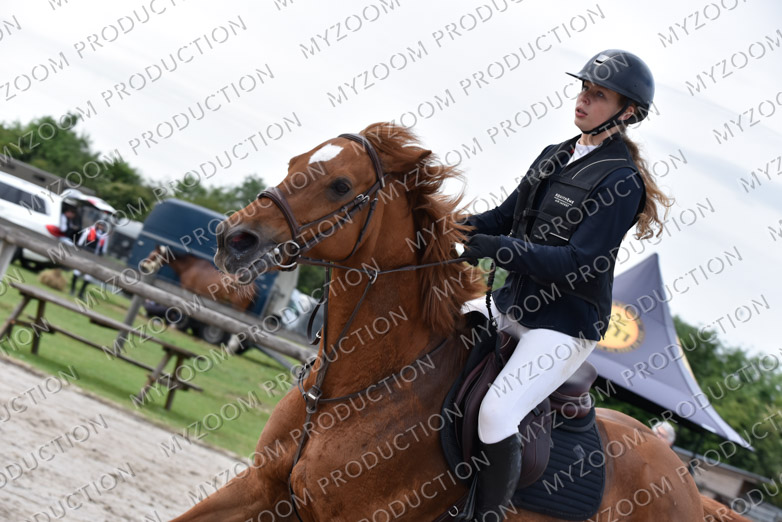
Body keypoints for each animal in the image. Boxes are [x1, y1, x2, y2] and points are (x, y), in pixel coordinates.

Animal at [171, 122, 745, 521]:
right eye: (294, 161)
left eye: (339, 185)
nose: (233, 240)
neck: (350, 391)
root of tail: (685, 480)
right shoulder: (260, 490)